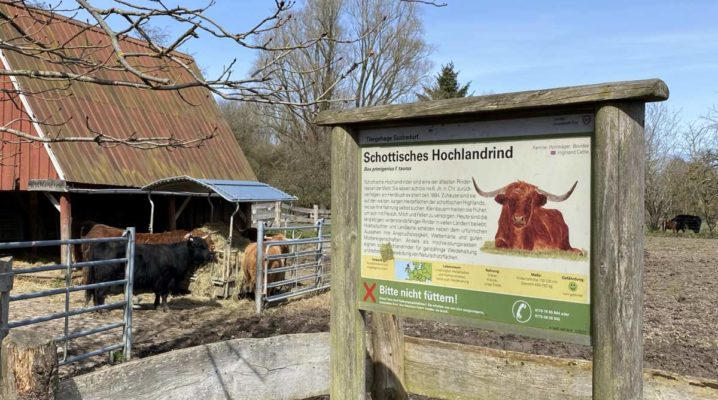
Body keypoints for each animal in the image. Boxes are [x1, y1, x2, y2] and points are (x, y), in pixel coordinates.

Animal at [86, 236, 214, 310]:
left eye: (206, 245)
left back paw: (97, 309)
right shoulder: (167, 279)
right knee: (99, 293)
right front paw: (166, 308)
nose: (211, 255)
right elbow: (164, 294)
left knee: (94, 292)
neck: (176, 255)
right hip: (105, 279)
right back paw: (103, 309)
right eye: (200, 246)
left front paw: (156, 305)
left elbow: (157, 293)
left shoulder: (157, 280)